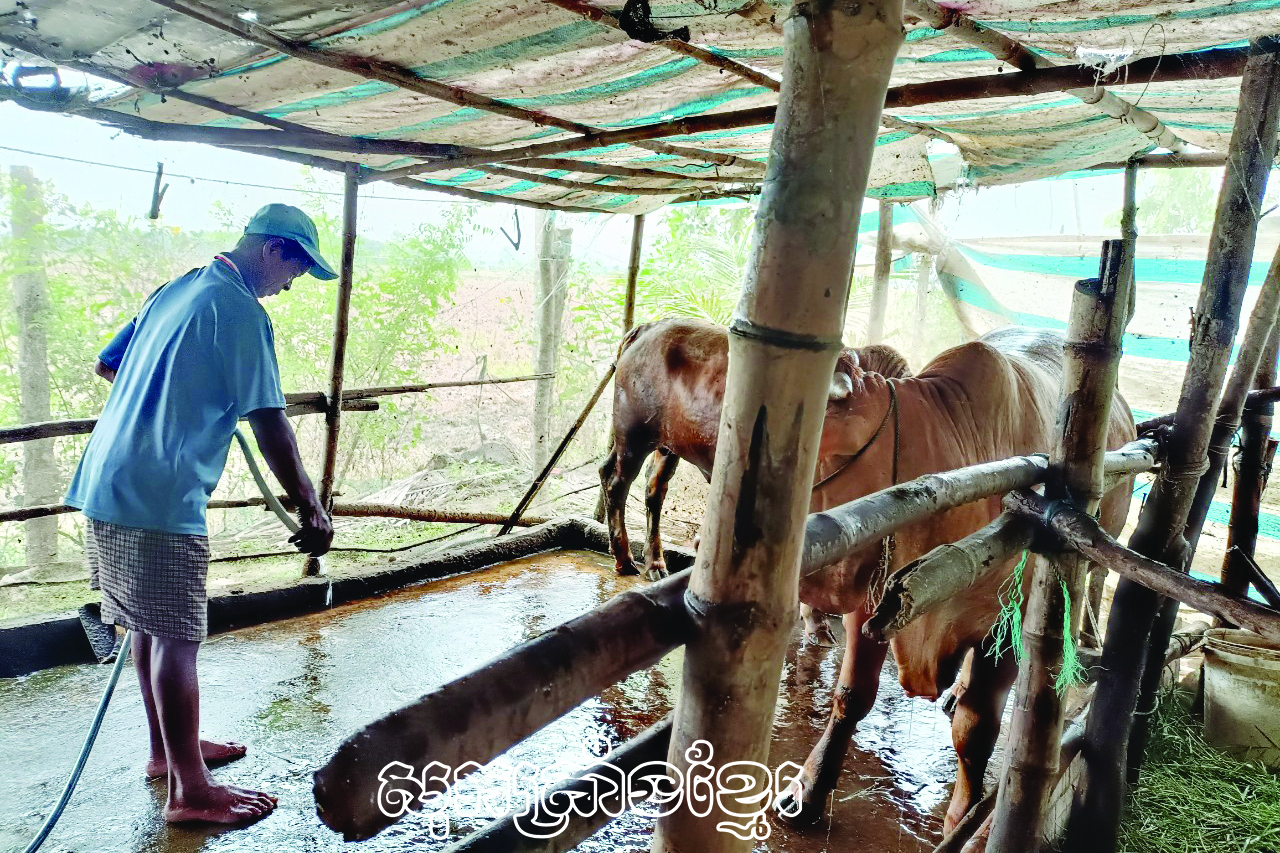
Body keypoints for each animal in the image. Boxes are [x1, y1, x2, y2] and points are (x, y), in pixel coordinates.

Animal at [599, 315, 911, 581]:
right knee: (616, 481)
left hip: (667, 445)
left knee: (653, 489)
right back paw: (625, 560)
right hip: (633, 434)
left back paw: (655, 564)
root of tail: (648, 327)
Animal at [773, 325, 1136, 829]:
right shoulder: (874, 602)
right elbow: (851, 696)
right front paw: (807, 790)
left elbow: (976, 730)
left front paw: (961, 819)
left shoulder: (1005, 629)